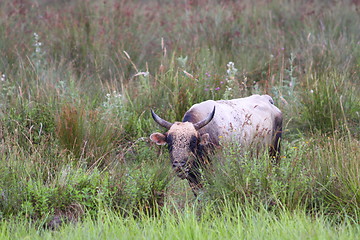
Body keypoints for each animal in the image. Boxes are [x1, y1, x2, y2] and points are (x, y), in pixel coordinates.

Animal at [149, 94, 282, 195]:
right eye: (169, 143)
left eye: (193, 141)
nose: (179, 165)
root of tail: (266, 99)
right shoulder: (193, 179)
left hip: (274, 152)